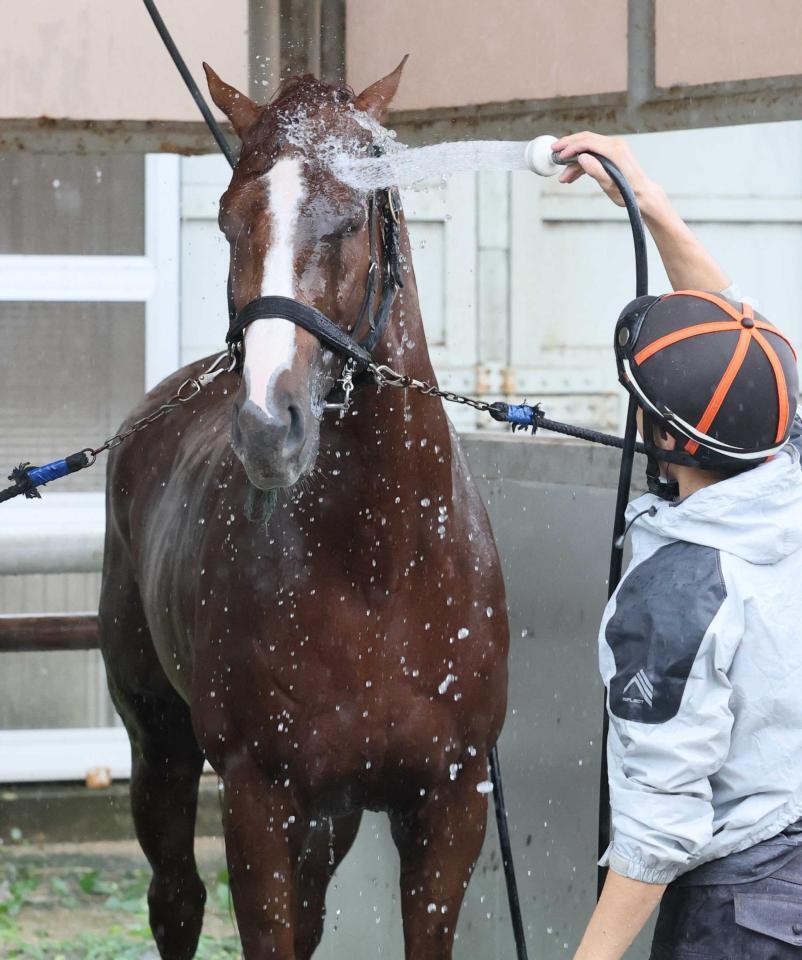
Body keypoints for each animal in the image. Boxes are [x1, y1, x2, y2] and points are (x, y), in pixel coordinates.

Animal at [100, 60, 510, 960]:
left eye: (353, 216)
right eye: (227, 220)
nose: (266, 425)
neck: (379, 569)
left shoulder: (448, 804)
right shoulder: (257, 796)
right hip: (160, 744)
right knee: (175, 899)